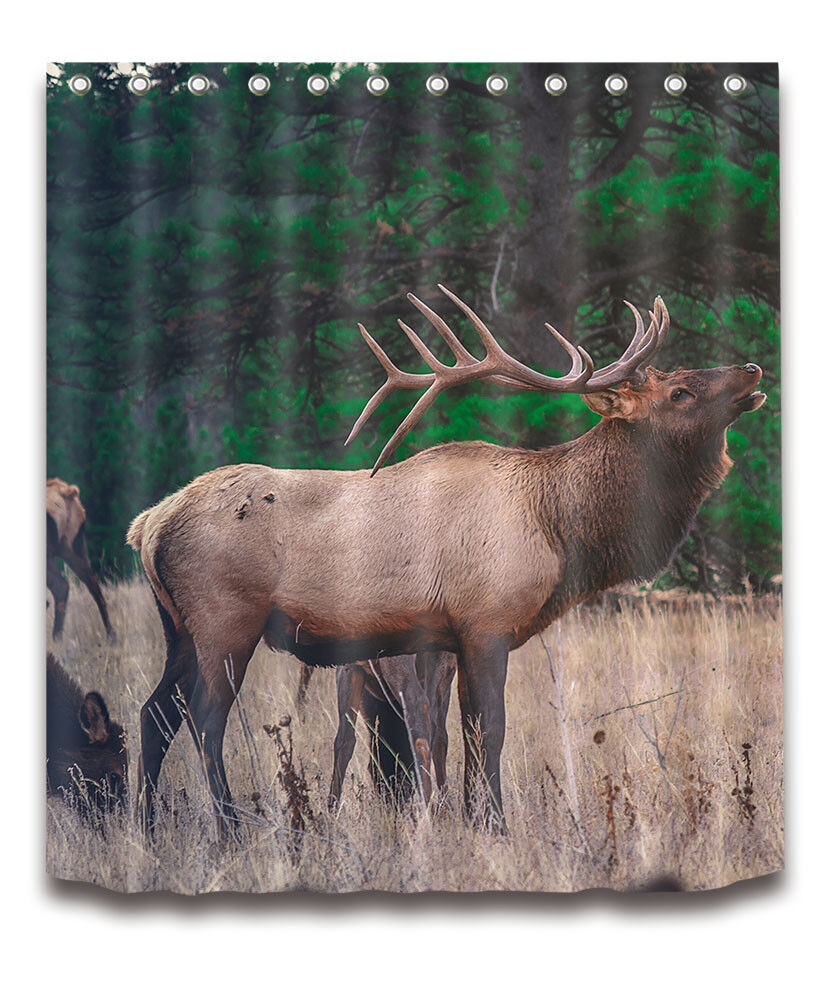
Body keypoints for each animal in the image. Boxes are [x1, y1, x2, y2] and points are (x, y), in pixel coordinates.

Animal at [127, 286, 765, 835]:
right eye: (679, 392)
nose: (753, 370)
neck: (557, 527)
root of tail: (149, 525)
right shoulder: (486, 622)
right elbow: (492, 731)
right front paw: (498, 827)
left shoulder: (451, 636)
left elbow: (461, 735)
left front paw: (471, 822)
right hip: (226, 618)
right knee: (204, 720)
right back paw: (229, 829)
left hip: (179, 628)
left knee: (154, 713)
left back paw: (146, 826)